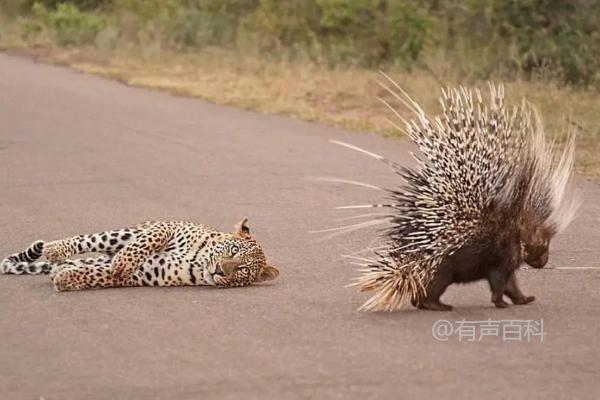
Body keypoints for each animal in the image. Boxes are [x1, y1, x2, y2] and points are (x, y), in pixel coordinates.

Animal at [0, 219, 282, 290]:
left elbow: (101, 275)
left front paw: (67, 279)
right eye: (233, 250)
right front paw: (124, 260)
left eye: (243, 270)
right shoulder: (169, 226)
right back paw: (55, 249)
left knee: (91, 261)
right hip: (124, 232)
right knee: (87, 240)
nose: (220, 270)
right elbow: (148, 241)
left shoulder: (147, 274)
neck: (199, 262)